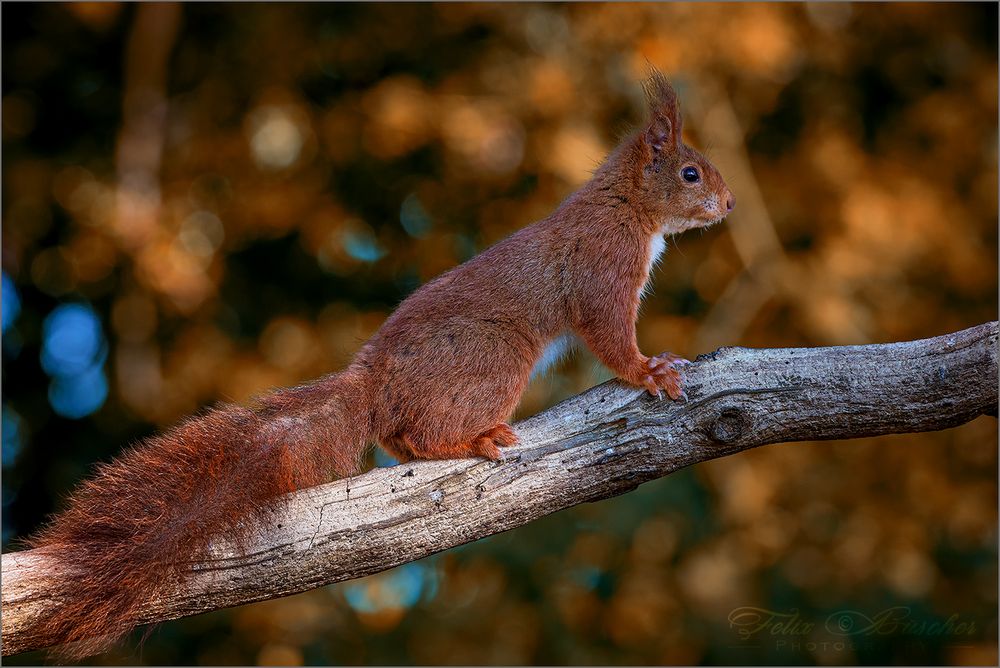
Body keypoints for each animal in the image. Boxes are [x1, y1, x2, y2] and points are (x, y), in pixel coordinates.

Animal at [25, 69, 736, 656]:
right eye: (691, 173)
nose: (729, 206)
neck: (627, 206)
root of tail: (374, 381)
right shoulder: (603, 268)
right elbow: (609, 335)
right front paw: (649, 371)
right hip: (496, 356)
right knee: (422, 432)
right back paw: (471, 440)